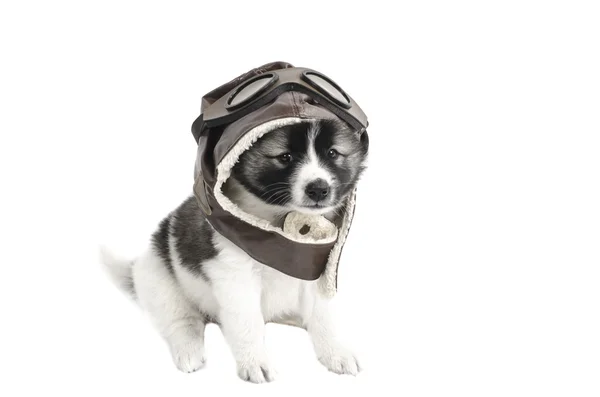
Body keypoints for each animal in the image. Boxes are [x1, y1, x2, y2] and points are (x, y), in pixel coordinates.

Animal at [101, 119, 368, 382]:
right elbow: (247, 321)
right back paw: (189, 349)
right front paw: (255, 362)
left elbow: (322, 316)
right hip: (158, 277)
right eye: (285, 157)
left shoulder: (318, 267)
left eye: (333, 153)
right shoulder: (234, 274)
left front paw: (335, 352)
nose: (319, 189)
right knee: (181, 320)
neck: (280, 223)